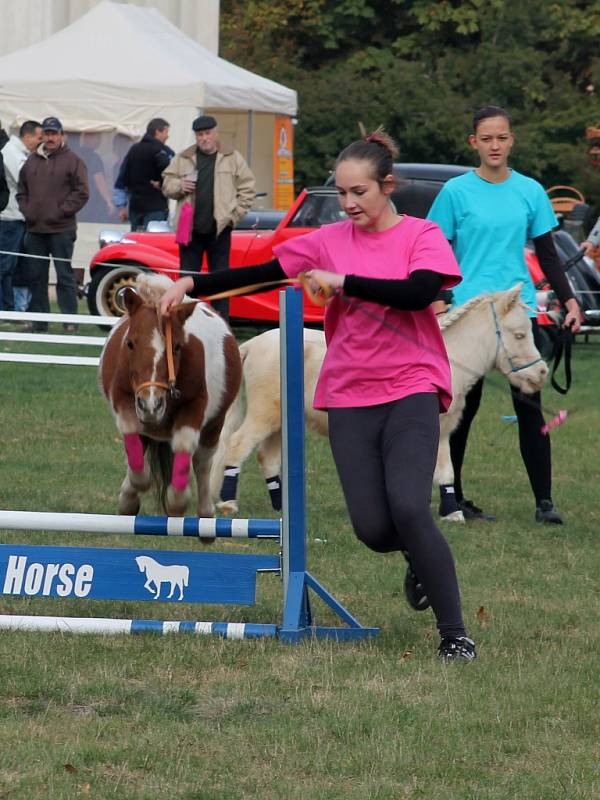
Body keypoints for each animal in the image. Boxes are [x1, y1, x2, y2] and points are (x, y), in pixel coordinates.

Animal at [99, 276, 241, 520]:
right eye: (130, 344)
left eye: (176, 347)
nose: (151, 404)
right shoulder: (124, 401)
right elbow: (138, 467)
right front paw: (131, 492)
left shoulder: (194, 411)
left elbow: (184, 456)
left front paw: (177, 500)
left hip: (213, 426)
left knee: (202, 463)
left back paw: (205, 511)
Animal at [210, 284, 548, 520]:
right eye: (520, 334)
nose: (542, 373)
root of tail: (252, 344)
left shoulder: (441, 431)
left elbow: (446, 471)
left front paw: (451, 512)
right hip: (264, 415)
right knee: (237, 445)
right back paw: (228, 504)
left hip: (281, 422)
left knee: (268, 458)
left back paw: (282, 509)